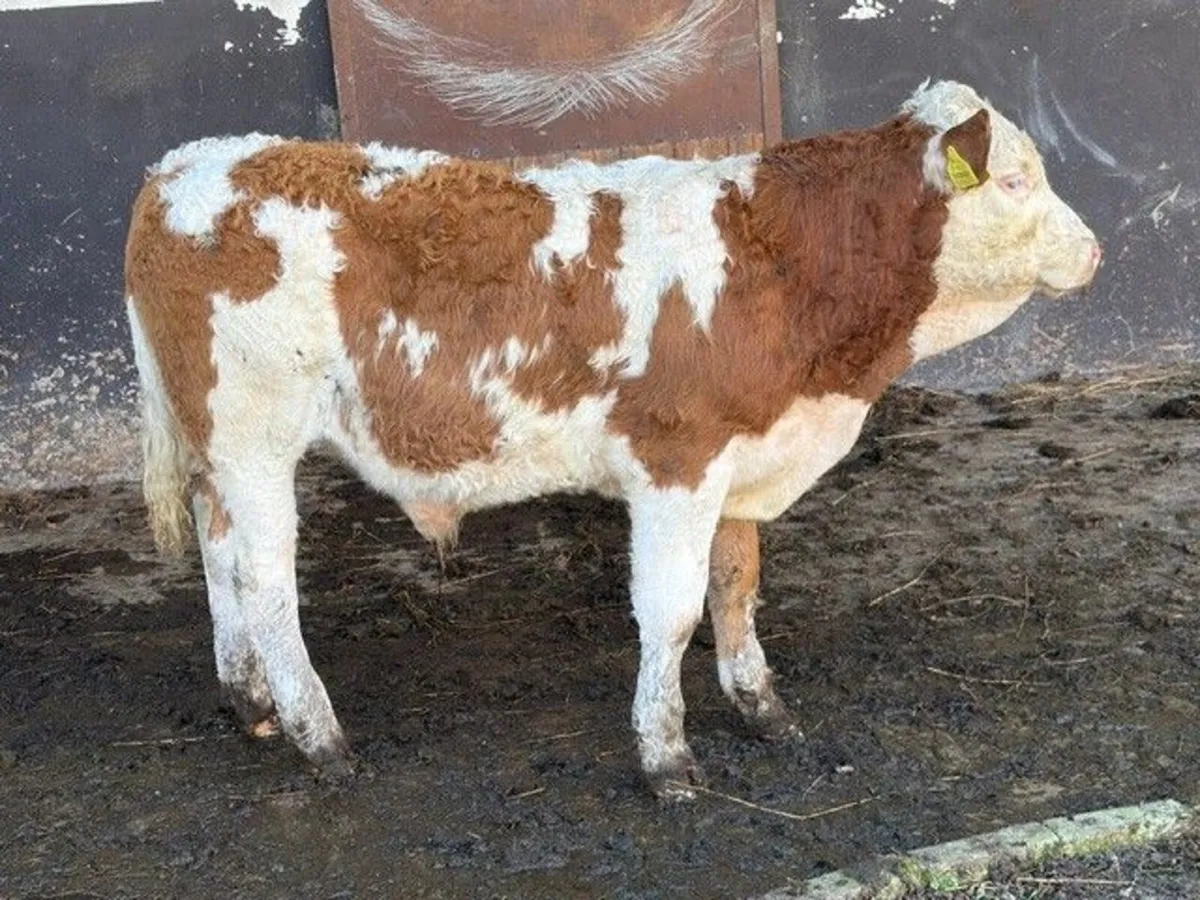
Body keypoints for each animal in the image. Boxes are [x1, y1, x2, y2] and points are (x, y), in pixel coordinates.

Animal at [124, 80, 1100, 800]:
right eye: (1015, 182)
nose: (1093, 250)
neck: (784, 265)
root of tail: (184, 164)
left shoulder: (742, 457)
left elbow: (736, 587)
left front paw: (761, 706)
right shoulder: (678, 459)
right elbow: (671, 613)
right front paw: (666, 757)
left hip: (217, 445)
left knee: (218, 549)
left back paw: (247, 697)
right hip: (254, 436)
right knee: (264, 579)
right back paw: (316, 733)